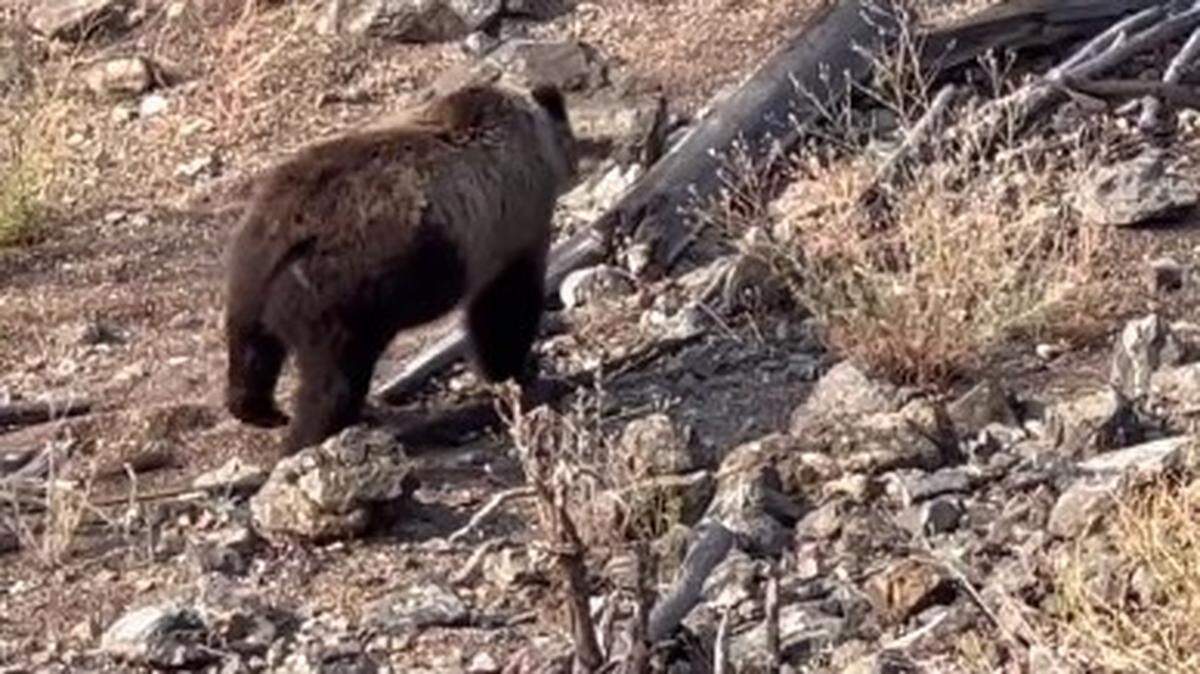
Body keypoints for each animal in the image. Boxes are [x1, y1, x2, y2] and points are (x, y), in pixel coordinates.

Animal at [223, 82, 577, 454]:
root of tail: (296, 225)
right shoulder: (507, 228)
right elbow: (504, 309)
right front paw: (518, 374)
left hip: (253, 264)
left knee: (251, 342)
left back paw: (260, 409)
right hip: (338, 293)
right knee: (334, 376)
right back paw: (310, 437)